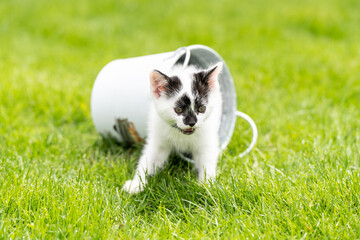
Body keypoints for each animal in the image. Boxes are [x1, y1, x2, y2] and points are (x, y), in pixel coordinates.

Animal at [122, 62, 222, 193]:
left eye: (201, 108)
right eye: (178, 109)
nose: (192, 122)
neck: (182, 134)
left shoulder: (206, 138)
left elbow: (207, 160)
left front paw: (207, 184)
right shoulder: (158, 137)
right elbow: (149, 158)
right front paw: (136, 183)